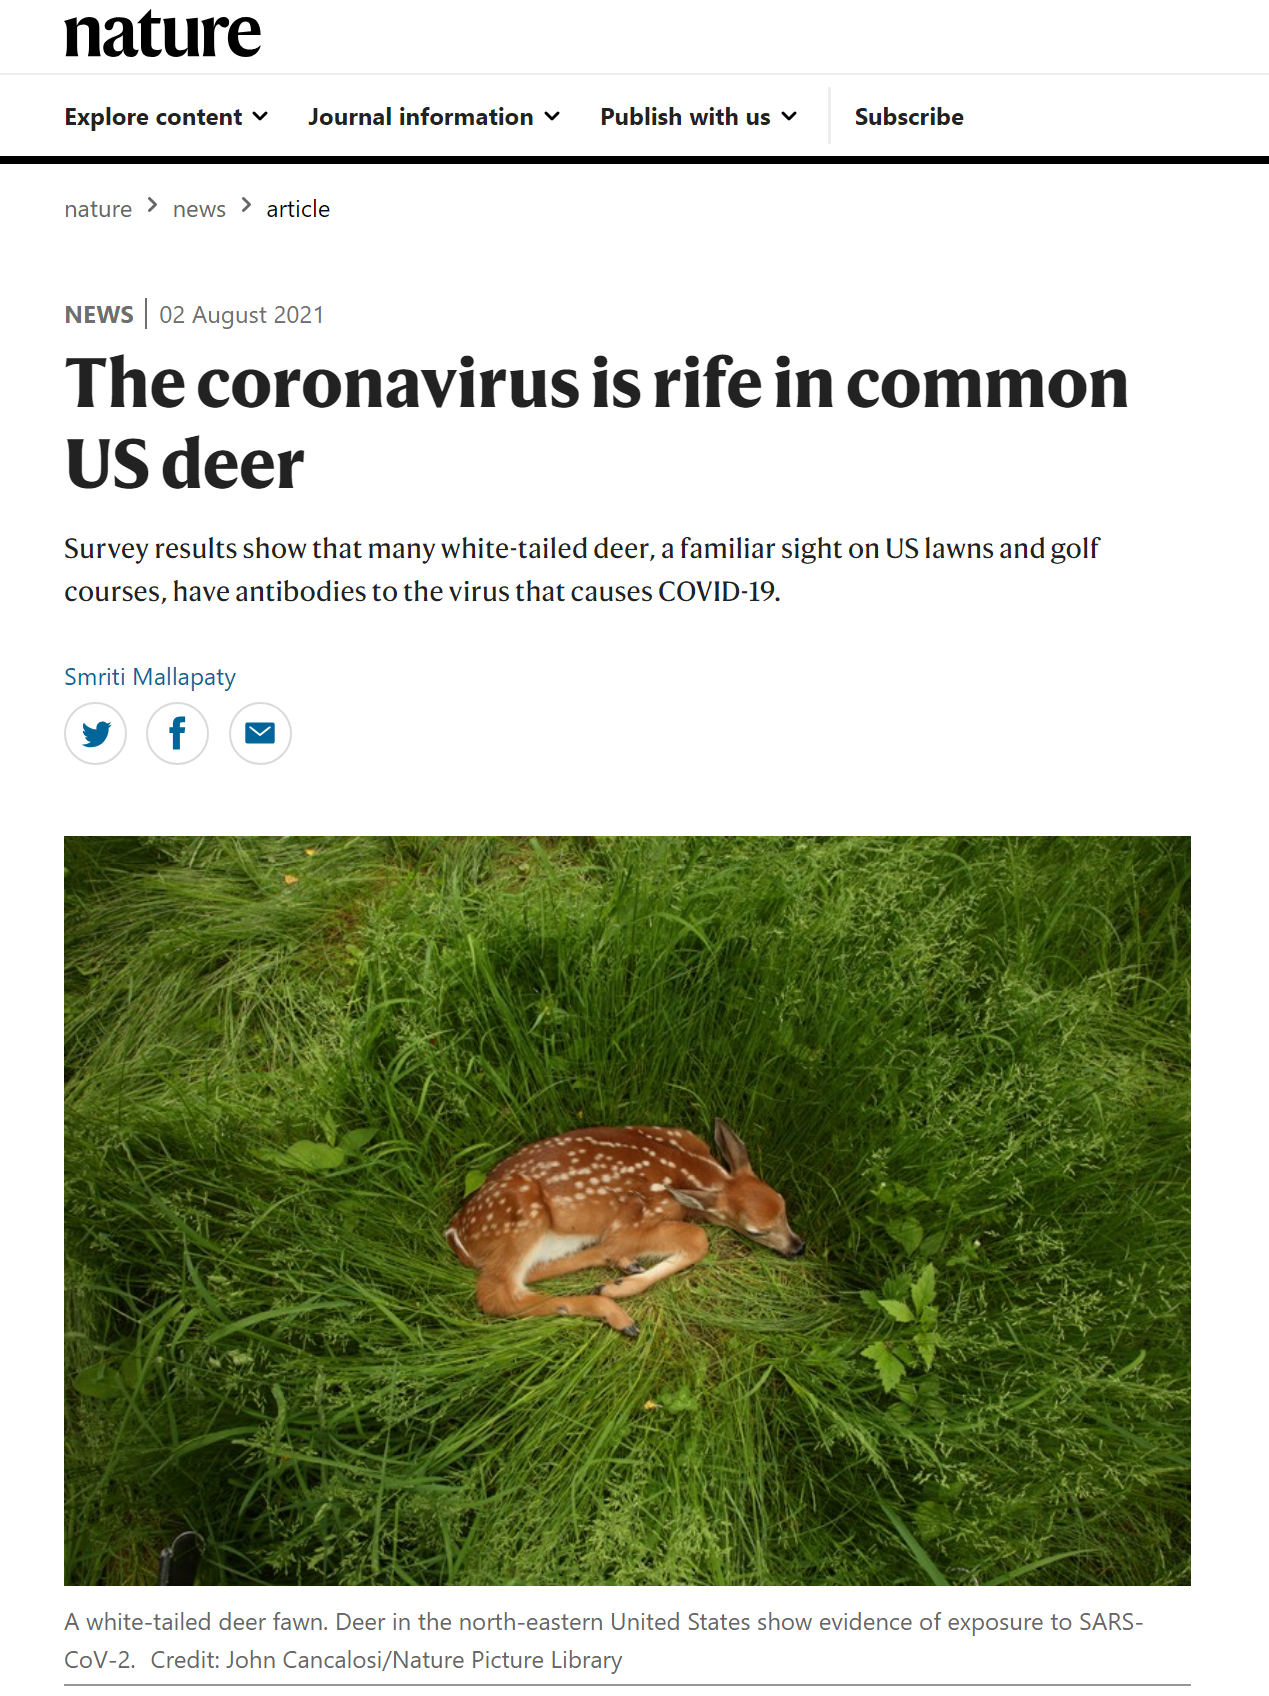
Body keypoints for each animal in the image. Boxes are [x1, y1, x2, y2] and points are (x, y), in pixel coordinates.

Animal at [446, 1118, 804, 1337]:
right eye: (755, 1230)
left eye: (784, 1204)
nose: (798, 1247)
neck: (695, 1169)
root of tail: (455, 1233)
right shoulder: (635, 1217)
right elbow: (698, 1237)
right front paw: (618, 1286)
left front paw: (621, 1274)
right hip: (522, 1211)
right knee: (496, 1294)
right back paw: (612, 1308)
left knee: (531, 1273)